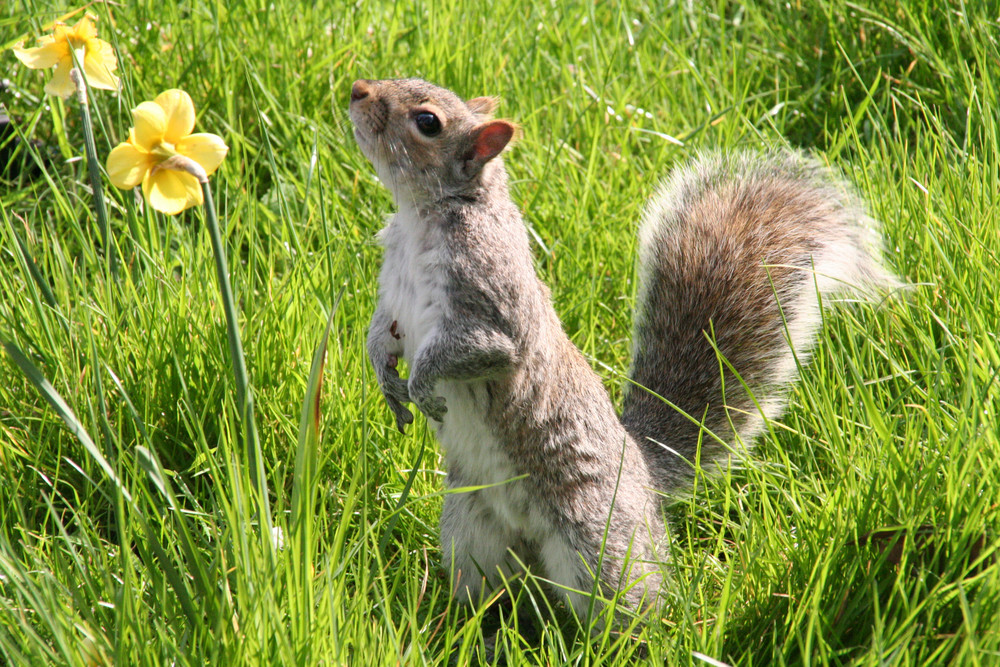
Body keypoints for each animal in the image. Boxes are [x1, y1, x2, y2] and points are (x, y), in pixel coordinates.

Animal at [348, 77, 896, 616]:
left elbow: (486, 346)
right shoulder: (393, 292)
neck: (422, 218)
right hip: (471, 533)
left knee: (627, 602)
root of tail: (644, 474)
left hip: (600, 543)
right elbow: (381, 335)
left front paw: (421, 384)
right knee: (491, 592)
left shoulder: (489, 292)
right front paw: (386, 378)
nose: (357, 90)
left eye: (427, 122)